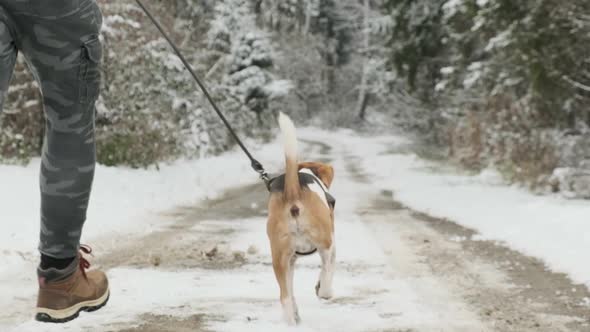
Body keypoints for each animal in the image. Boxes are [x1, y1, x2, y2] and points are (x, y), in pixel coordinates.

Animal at [266, 113, 336, 324]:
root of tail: (293, 191)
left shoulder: (290, 260)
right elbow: (328, 269)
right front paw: (321, 288)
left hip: (279, 257)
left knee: (285, 297)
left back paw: (292, 321)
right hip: (325, 242)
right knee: (327, 267)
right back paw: (325, 292)